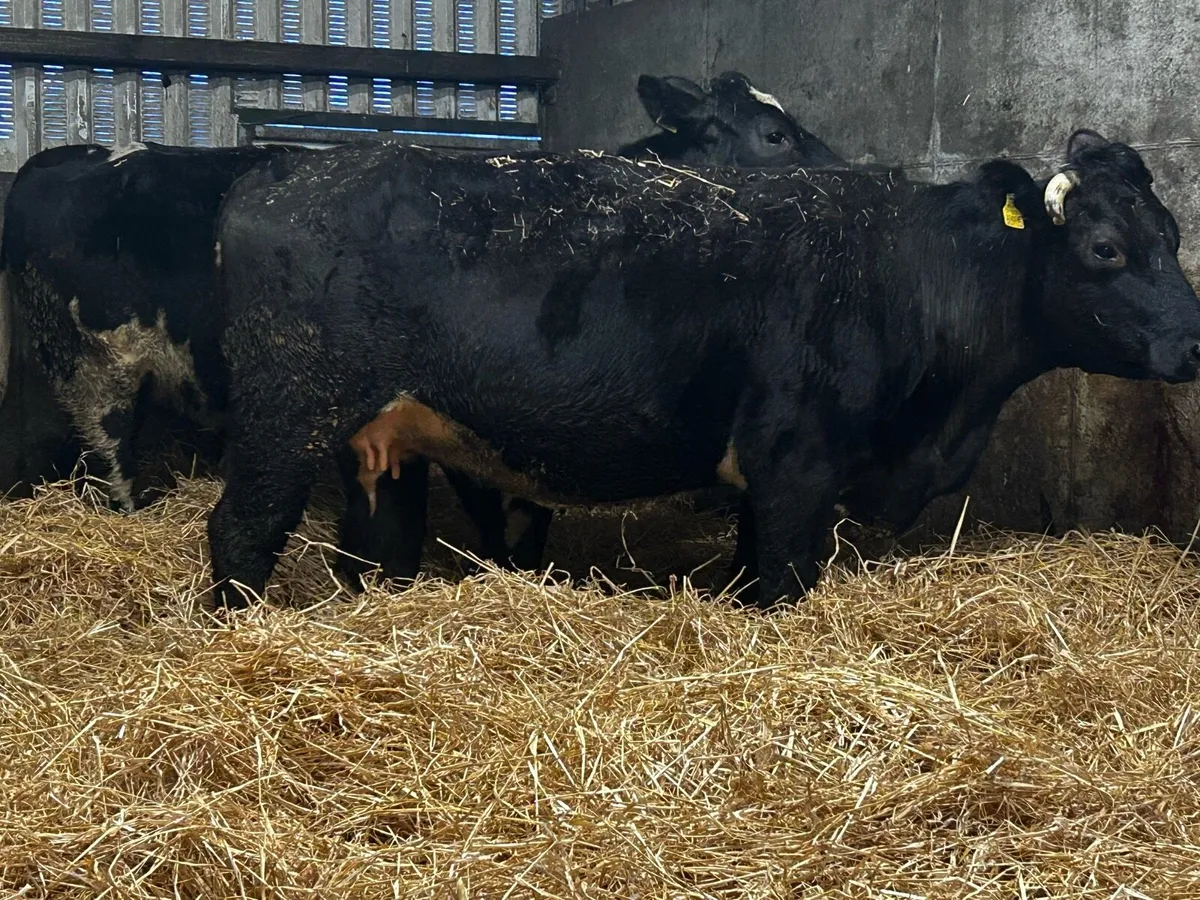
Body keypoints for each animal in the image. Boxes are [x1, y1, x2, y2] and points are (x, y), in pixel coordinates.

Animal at [204, 129, 1200, 610]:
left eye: (1174, 233)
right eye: (1107, 249)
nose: (1194, 343)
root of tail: (278, 177)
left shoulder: (771, 478)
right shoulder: (797, 464)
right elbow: (784, 583)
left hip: (379, 437)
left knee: (376, 548)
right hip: (285, 415)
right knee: (239, 532)